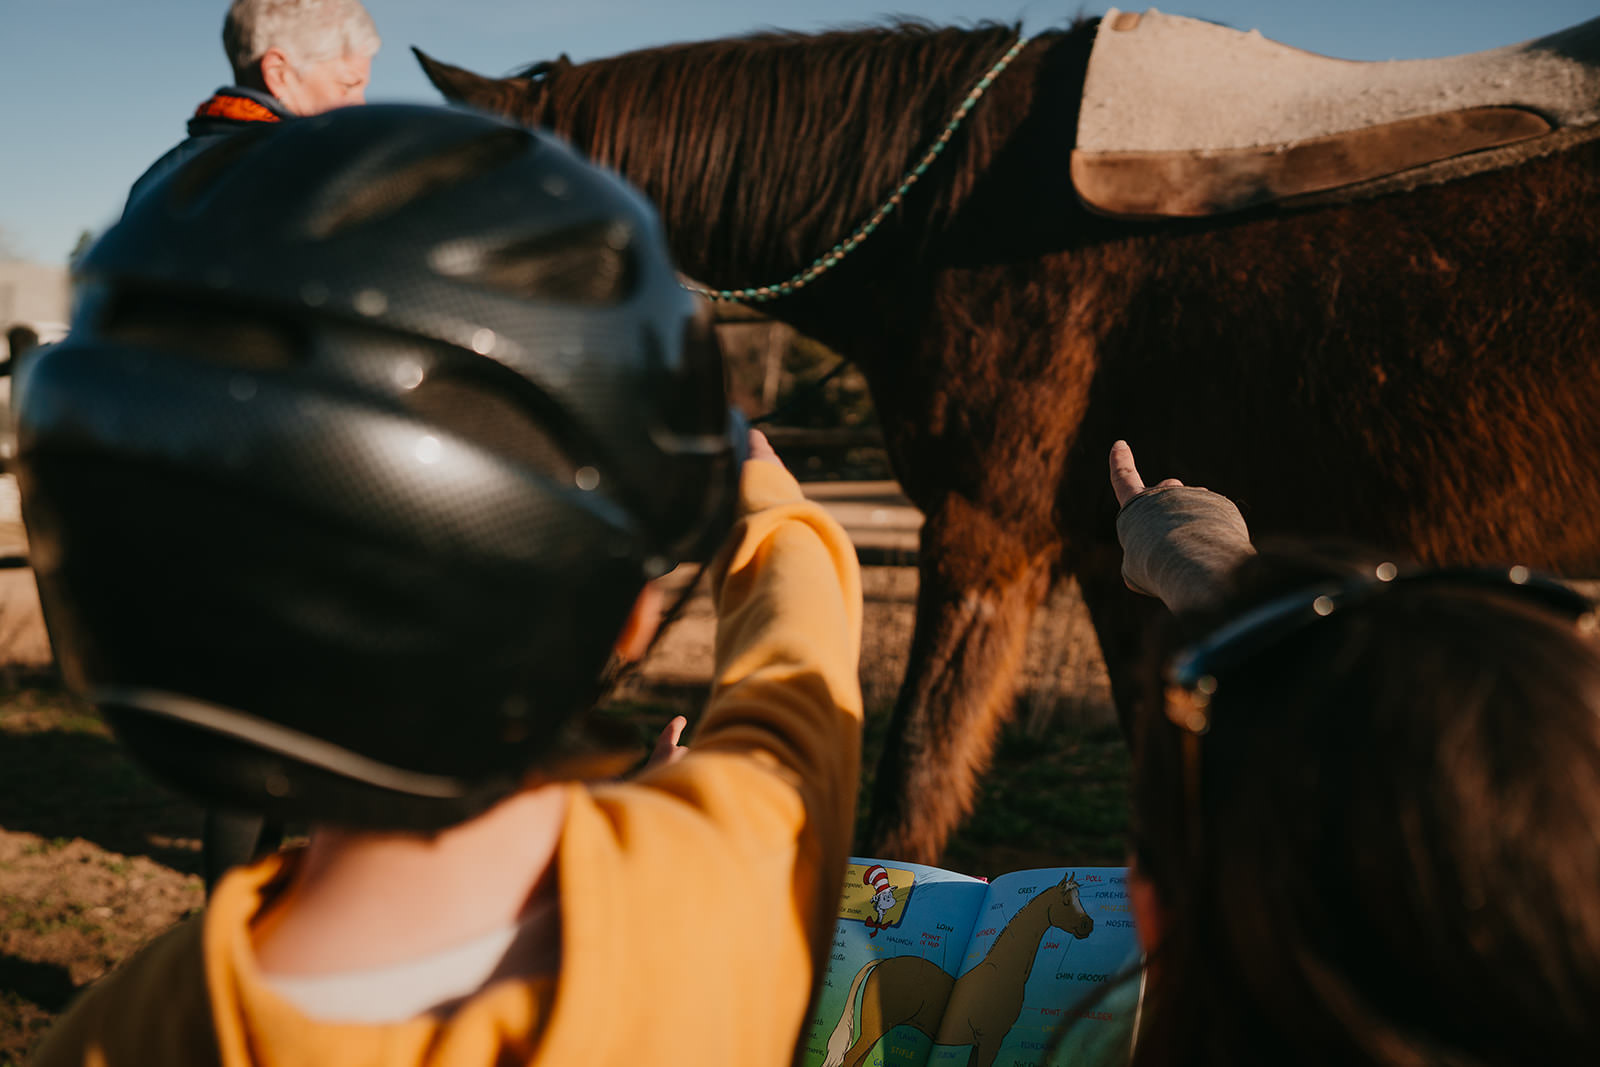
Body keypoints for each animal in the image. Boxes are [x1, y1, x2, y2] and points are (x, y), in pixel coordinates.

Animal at [820, 871, 1092, 1067]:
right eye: (1066, 902)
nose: (1087, 925)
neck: (1003, 974)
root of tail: (883, 962)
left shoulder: (979, 1043)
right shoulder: (991, 1040)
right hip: (875, 1028)